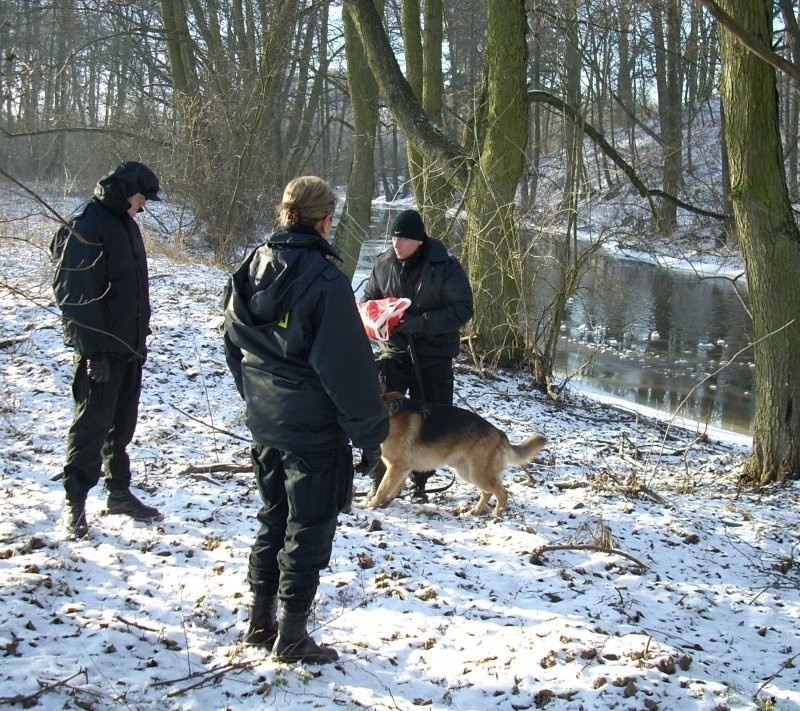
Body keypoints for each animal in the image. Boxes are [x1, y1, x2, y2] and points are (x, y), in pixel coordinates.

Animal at [366, 394, 548, 516]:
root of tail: (501, 434)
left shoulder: (396, 467)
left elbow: (382, 489)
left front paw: (369, 506)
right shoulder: (401, 469)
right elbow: (392, 489)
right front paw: (384, 503)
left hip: (478, 474)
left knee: (502, 493)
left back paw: (495, 515)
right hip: (468, 473)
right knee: (488, 492)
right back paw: (475, 511)